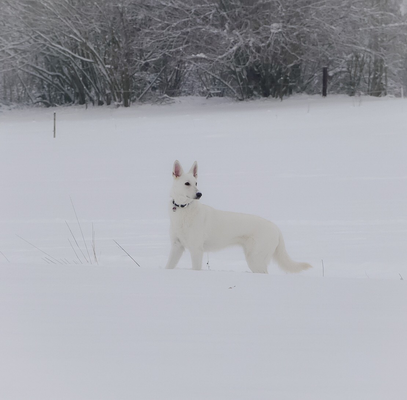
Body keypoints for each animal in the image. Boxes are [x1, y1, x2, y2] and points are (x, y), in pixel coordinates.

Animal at [166, 161, 312, 274]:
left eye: (196, 183)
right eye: (187, 183)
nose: (199, 194)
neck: (183, 209)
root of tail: (276, 228)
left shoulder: (196, 249)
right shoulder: (176, 247)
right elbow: (169, 266)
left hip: (255, 259)